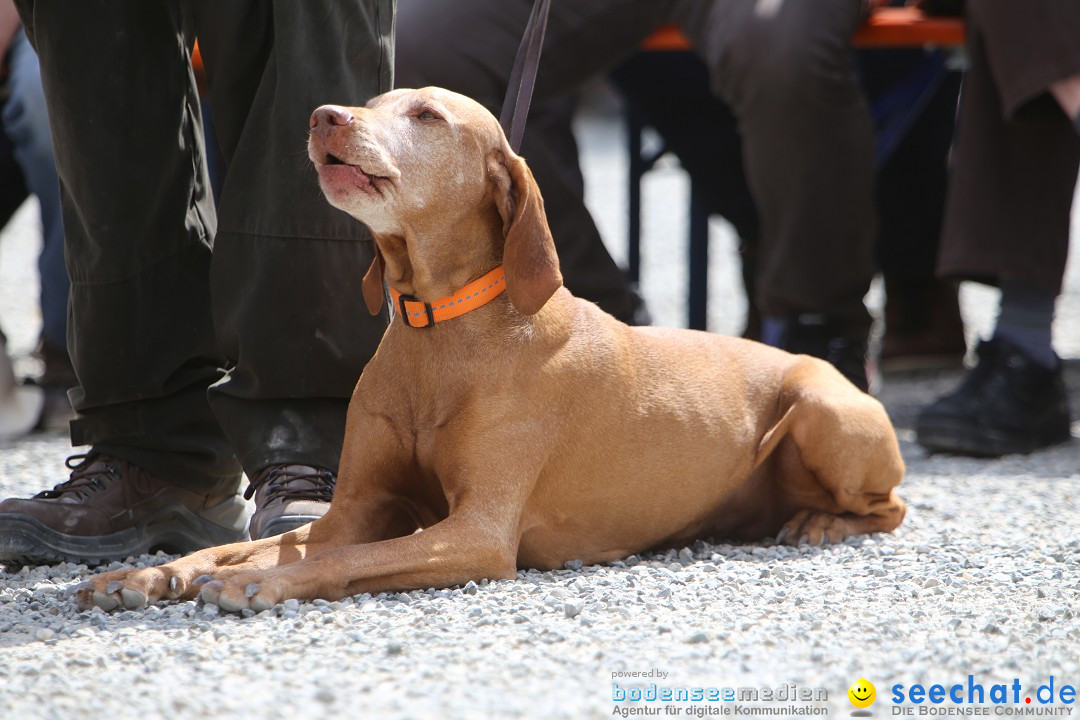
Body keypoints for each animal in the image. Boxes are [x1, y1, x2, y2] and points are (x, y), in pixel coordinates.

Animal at [71, 85, 907, 613]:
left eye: (426, 114)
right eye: (371, 101)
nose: (322, 116)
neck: (439, 332)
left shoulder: (477, 533)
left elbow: (341, 562)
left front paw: (261, 587)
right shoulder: (356, 508)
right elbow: (258, 549)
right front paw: (150, 574)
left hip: (822, 409)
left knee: (889, 507)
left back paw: (822, 524)